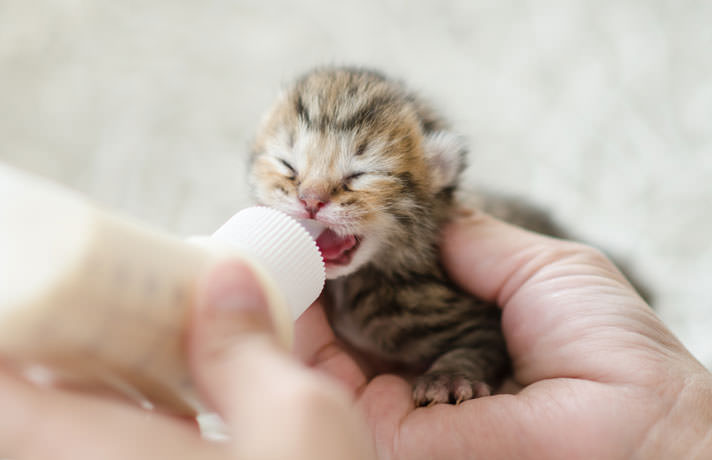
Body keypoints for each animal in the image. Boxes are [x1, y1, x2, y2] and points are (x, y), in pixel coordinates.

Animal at [248, 66, 508, 404]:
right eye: (288, 166)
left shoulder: (483, 320)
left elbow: (478, 345)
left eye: (359, 175)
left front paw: (449, 377)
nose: (310, 201)